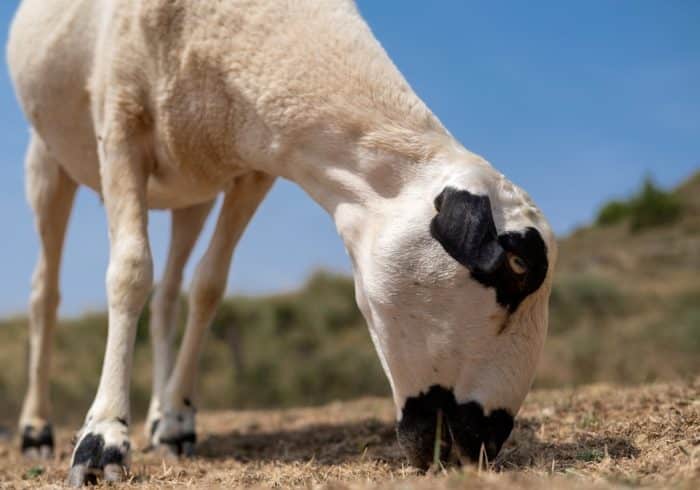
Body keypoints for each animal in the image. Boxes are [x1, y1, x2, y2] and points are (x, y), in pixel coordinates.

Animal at [4, 0, 552, 482]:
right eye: (516, 267)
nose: (486, 442)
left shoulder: (251, 170)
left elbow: (209, 286)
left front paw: (176, 422)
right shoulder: (120, 122)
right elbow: (130, 272)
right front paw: (101, 443)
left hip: (190, 187)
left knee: (169, 296)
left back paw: (163, 419)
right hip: (48, 158)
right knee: (44, 293)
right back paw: (36, 430)